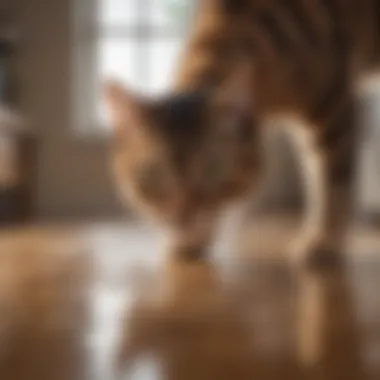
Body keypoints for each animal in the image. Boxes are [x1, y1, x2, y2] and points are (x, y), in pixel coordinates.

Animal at [102, 0, 380, 268]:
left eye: (211, 172)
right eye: (156, 173)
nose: (183, 218)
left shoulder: (334, 108)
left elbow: (331, 183)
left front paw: (324, 240)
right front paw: (191, 242)